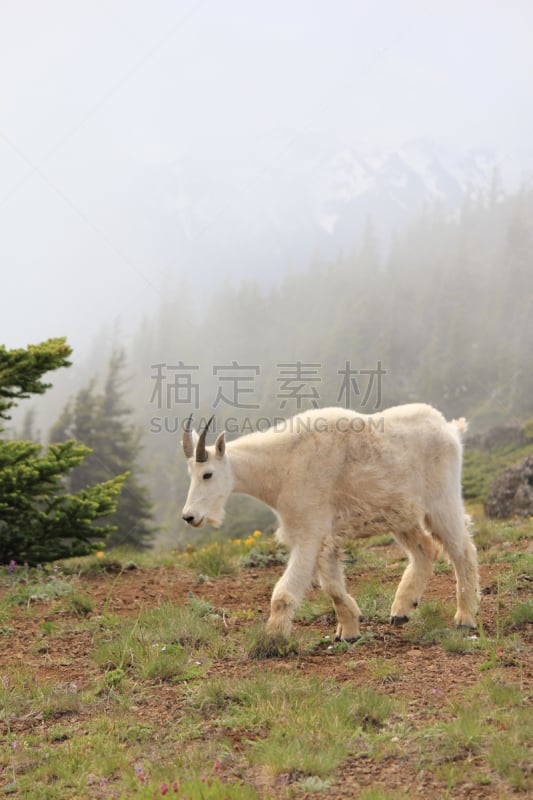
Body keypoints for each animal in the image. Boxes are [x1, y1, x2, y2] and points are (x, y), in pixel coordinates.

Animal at [181, 404, 480, 640]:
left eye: (207, 474)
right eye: (190, 474)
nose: (189, 516)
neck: (281, 466)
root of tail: (451, 429)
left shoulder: (309, 533)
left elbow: (283, 594)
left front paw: (272, 639)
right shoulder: (326, 536)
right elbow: (332, 586)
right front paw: (349, 630)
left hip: (441, 501)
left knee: (462, 550)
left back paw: (465, 618)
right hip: (400, 514)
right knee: (425, 550)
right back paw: (401, 611)